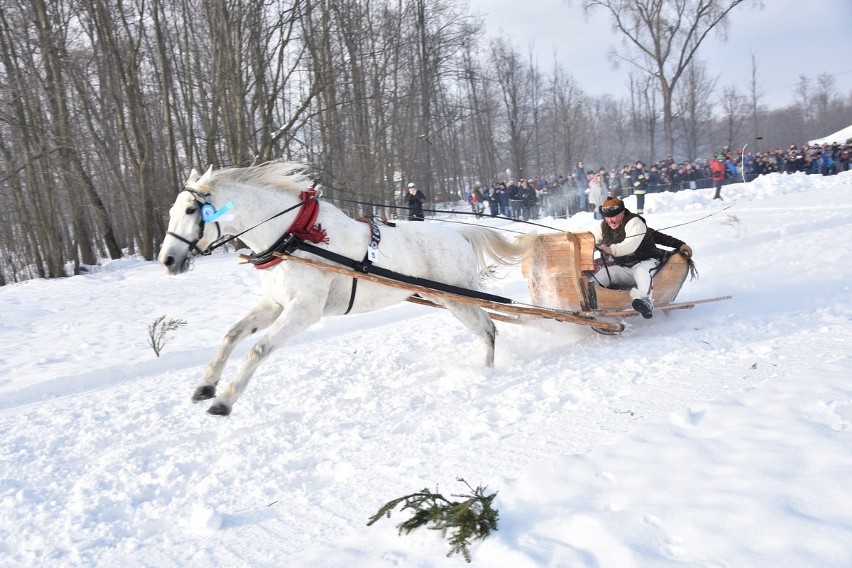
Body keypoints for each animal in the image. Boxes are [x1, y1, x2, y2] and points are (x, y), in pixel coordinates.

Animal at [159, 162, 528, 414]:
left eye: (191, 210)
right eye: (172, 210)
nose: (167, 260)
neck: (294, 236)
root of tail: (458, 233)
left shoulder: (304, 310)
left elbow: (258, 349)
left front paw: (224, 400)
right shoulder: (275, 304)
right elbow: (232, 334)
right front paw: (206, 386)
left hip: (456, 298)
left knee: (488, 329)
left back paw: (486, 373)